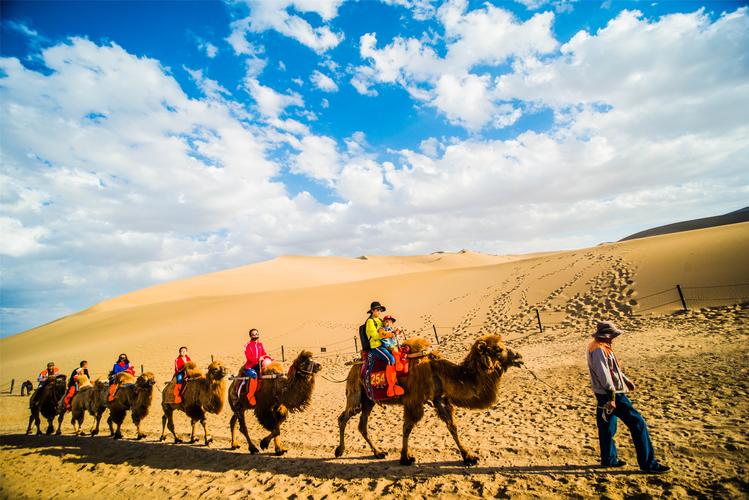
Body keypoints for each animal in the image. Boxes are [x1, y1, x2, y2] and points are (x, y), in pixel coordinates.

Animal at [334, 334, 520, 466]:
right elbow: (407, 427)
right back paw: (339, 450)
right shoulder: (414, 400)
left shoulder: (438, 398)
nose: (518, 356)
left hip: (369, 400)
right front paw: (406, 457)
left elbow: (452, 426)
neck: (435, 368)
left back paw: (378, 452)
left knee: (362, 425)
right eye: (498, 349)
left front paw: (469, 456)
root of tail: (353, 367)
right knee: (343, 417)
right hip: (356, 395)